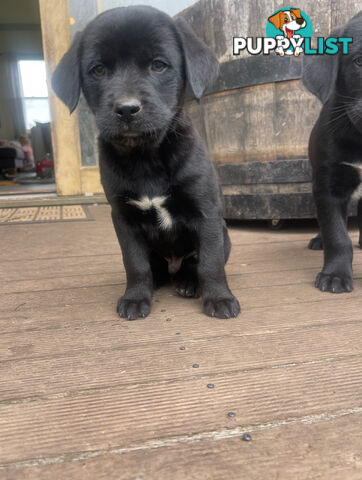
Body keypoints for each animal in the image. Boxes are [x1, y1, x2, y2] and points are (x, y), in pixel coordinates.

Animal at [52, 6, 240, 318]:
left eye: (159, 65)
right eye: (98, 70)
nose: (127, 109)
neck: (145, 156)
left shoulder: (207, 213)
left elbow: (210, 262)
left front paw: (219, 298)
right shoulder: (123, 218)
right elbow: (135, 264)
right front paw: (135, 297)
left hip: (225, 236)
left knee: (194, 263)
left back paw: (189, 283)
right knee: (156, 267)